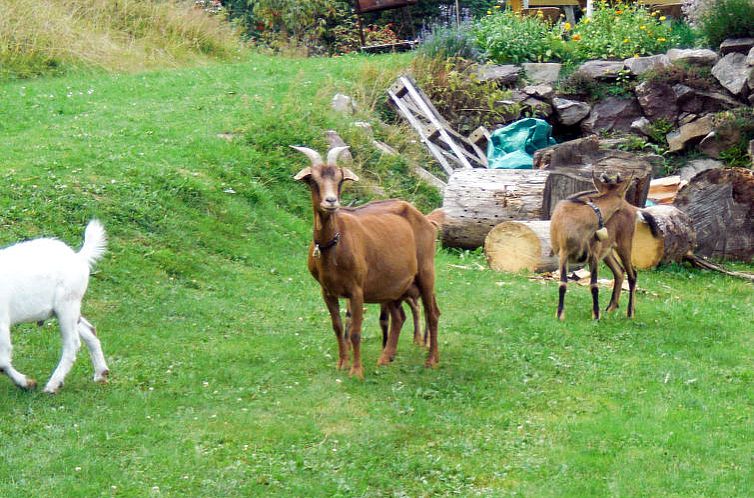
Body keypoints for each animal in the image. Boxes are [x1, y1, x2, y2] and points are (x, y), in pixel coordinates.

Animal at [0, 221, 108, 392]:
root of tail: (79, 258)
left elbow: (2, 361)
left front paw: (27, 383)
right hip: (68, 310)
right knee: (90, 330)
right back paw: (101, 374)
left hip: (67, 306)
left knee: (73, 344)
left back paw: (52, 385)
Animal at [290, 145, 438, 378]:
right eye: (313, 180)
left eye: (340, 179)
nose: (331, 202)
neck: (335, 244)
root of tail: (426, 220)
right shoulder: (327, 291)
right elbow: (338, 327)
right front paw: (342, 363)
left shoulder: (356, 289)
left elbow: (355, 331)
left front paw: (356, 371)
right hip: (392, 284)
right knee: (398, 317)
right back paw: (385, 358)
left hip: (425, 272)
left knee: (432, 314)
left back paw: (431, 361)